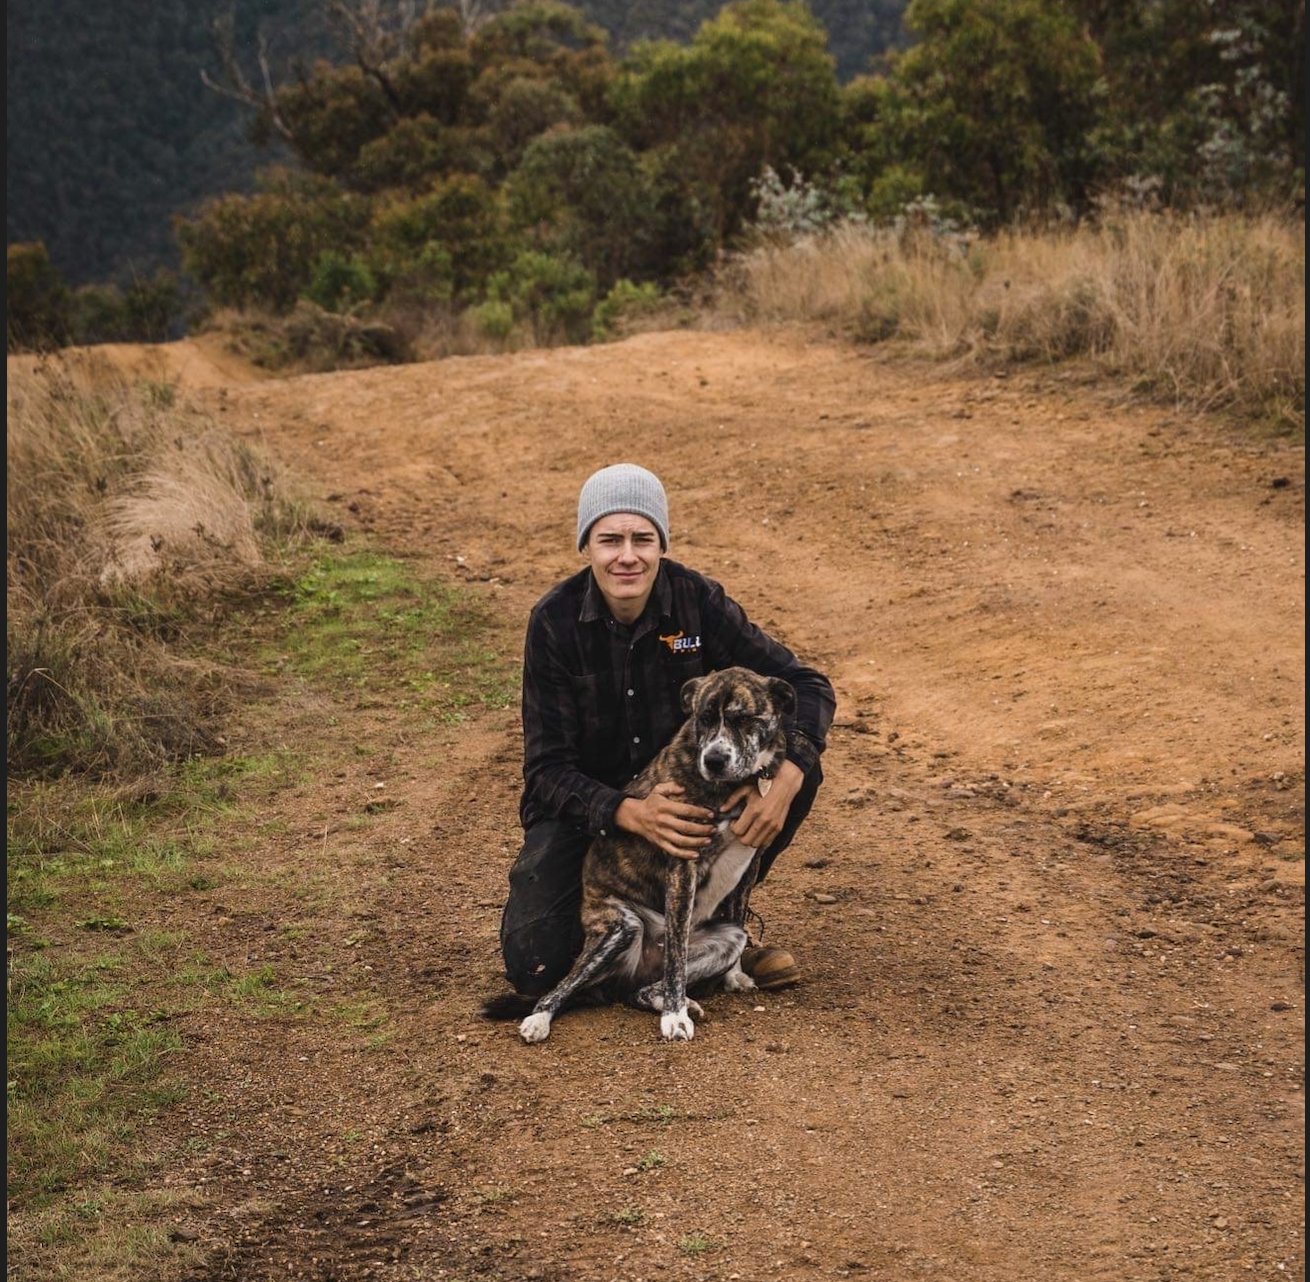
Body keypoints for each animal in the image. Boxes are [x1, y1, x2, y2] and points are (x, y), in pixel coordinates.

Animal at [495, 667, 791, 1047]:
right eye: (704, 718)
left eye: (742, 719)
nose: (713, 760)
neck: (737, 785)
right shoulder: (682, 862)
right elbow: (676, 958)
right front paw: (674, 1018)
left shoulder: (749, 863)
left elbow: (736, 915)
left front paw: (732, 978)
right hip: (621, 928)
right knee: (562, 988)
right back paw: (539, 1019)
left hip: (724, 941)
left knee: (643, 991)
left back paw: (676, 999)